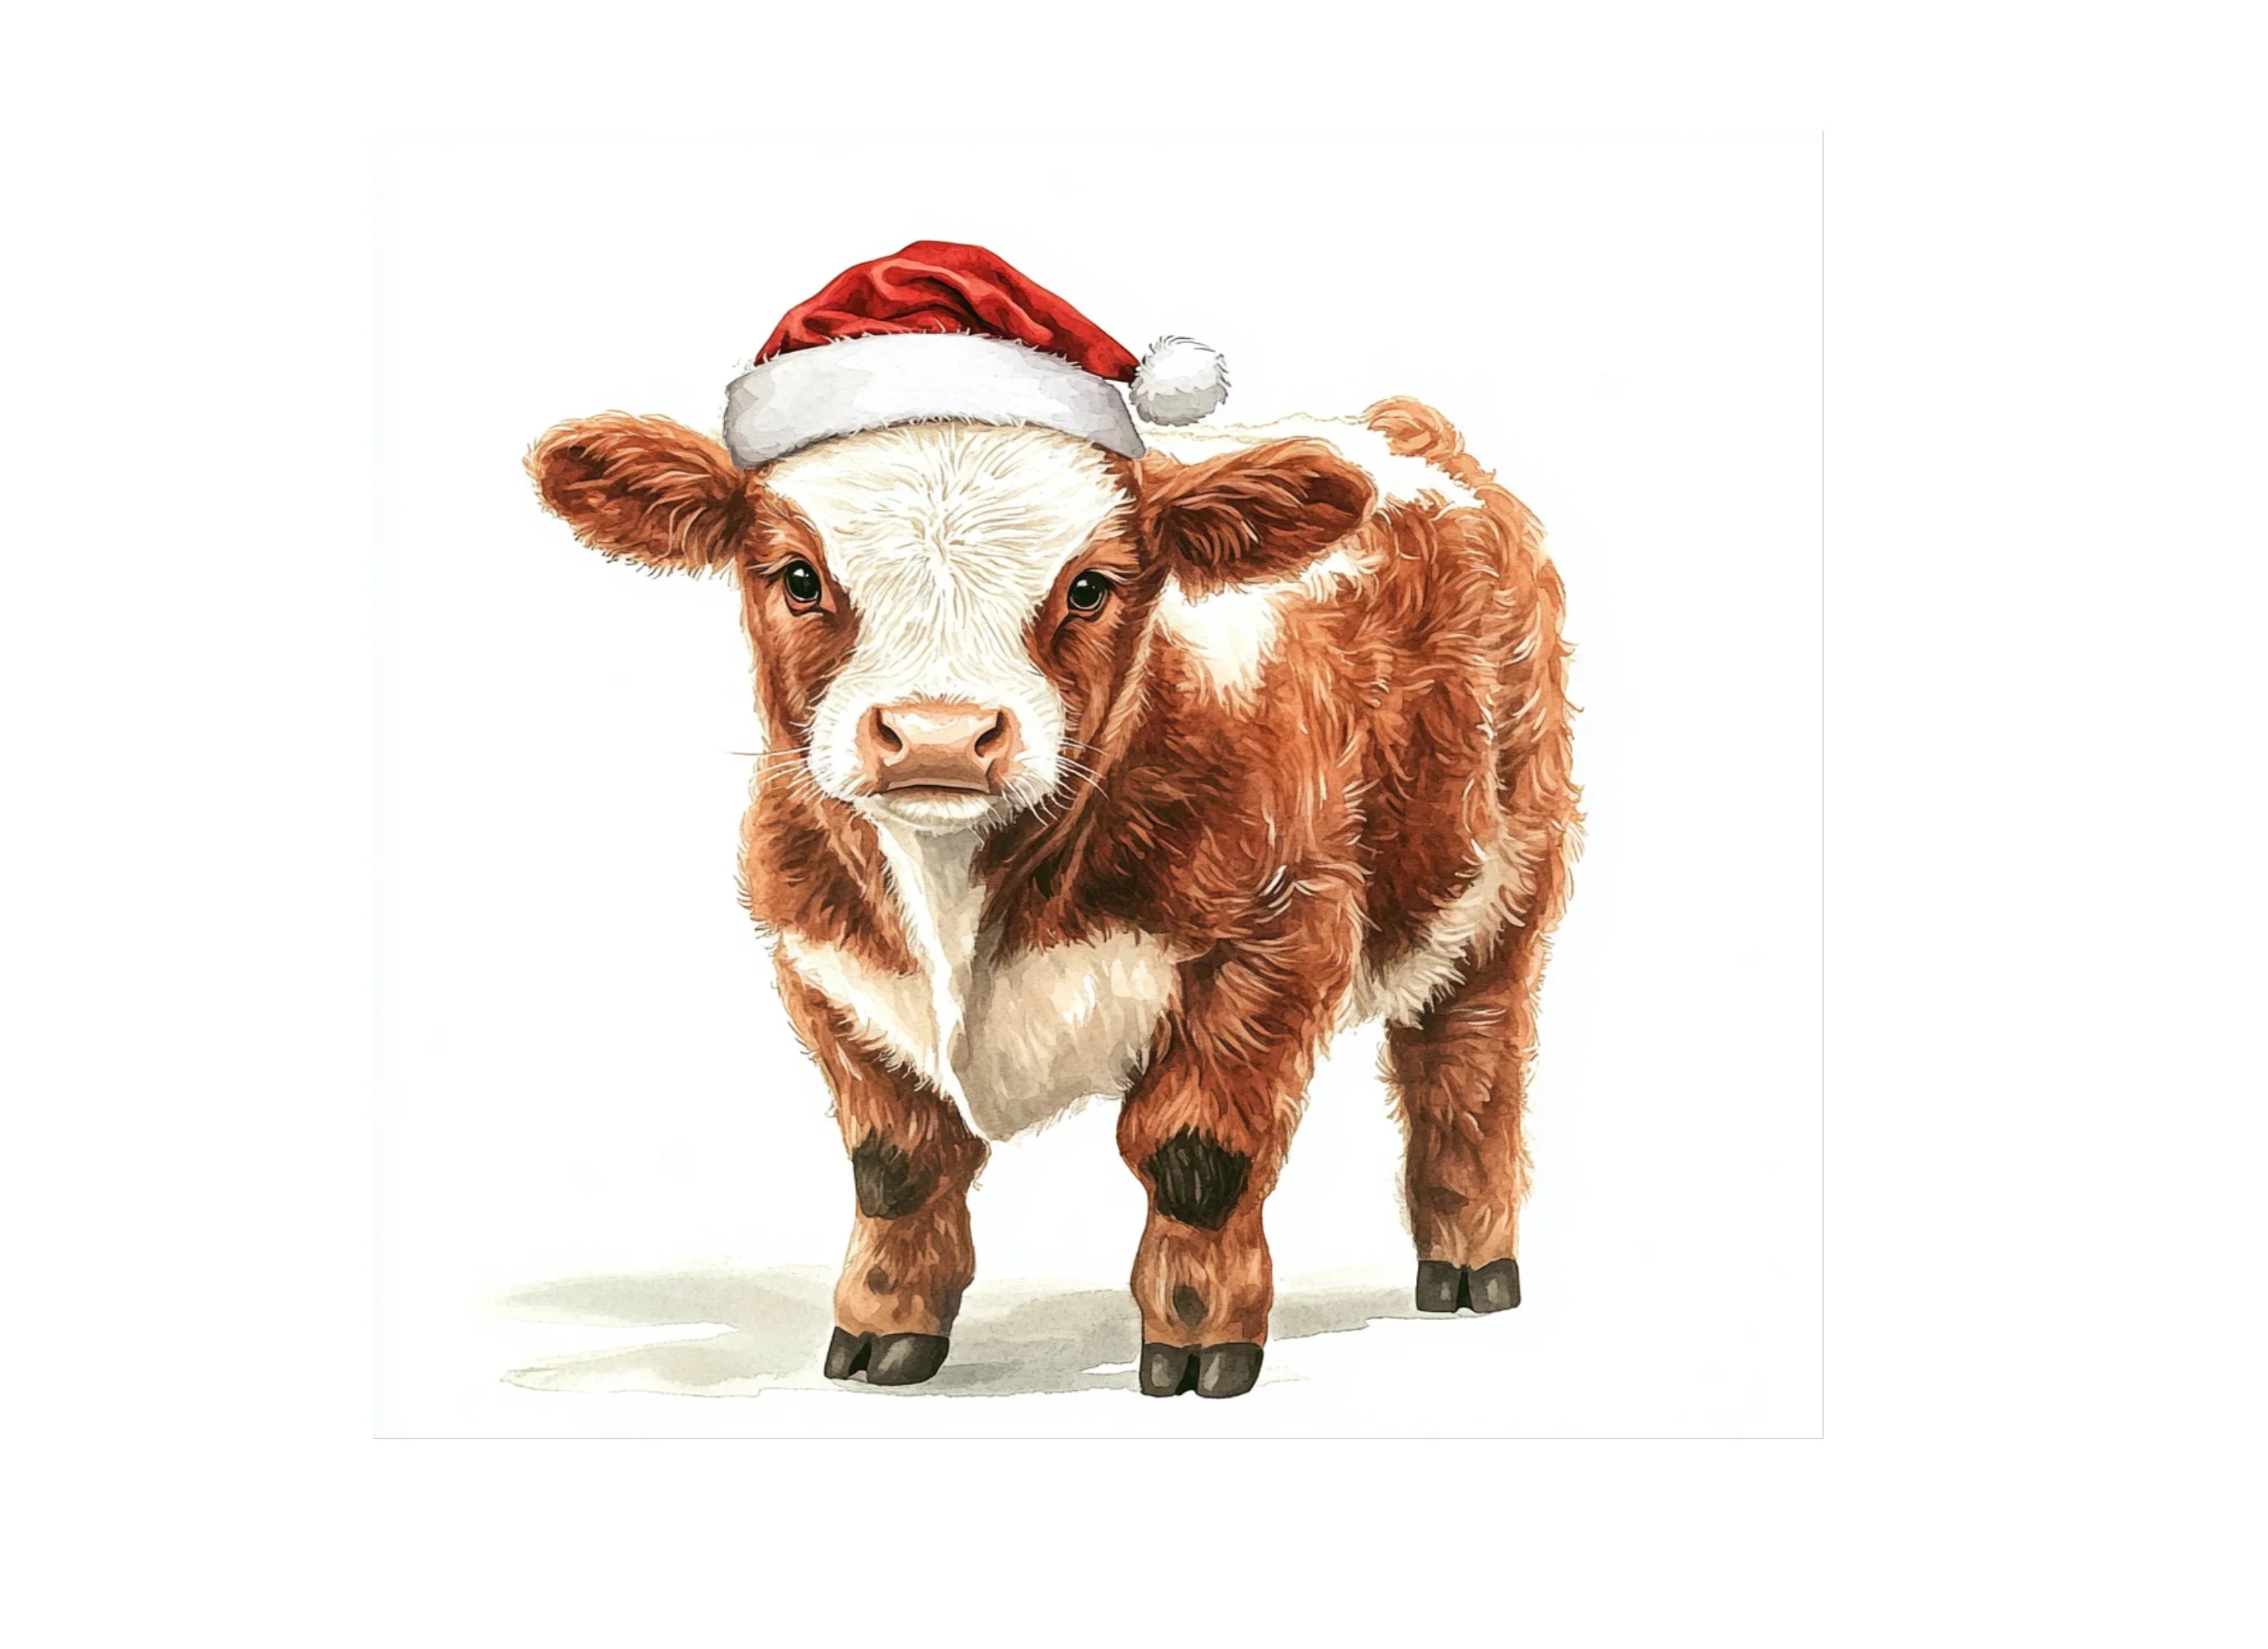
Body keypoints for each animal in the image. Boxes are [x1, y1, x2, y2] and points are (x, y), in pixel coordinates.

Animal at [528, 246, 1579, 1399]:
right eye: (796, 577)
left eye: (1091, 586)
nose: (937, 737)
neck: (955, 901)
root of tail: (1392, 426)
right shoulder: (822, 963)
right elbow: (896, 1166)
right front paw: (884, 1327)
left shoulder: (1271, 939)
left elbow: (1198, 1158)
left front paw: (1199, 1339)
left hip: (1504, 880)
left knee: (1465, 1064)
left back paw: (1468, 1265)